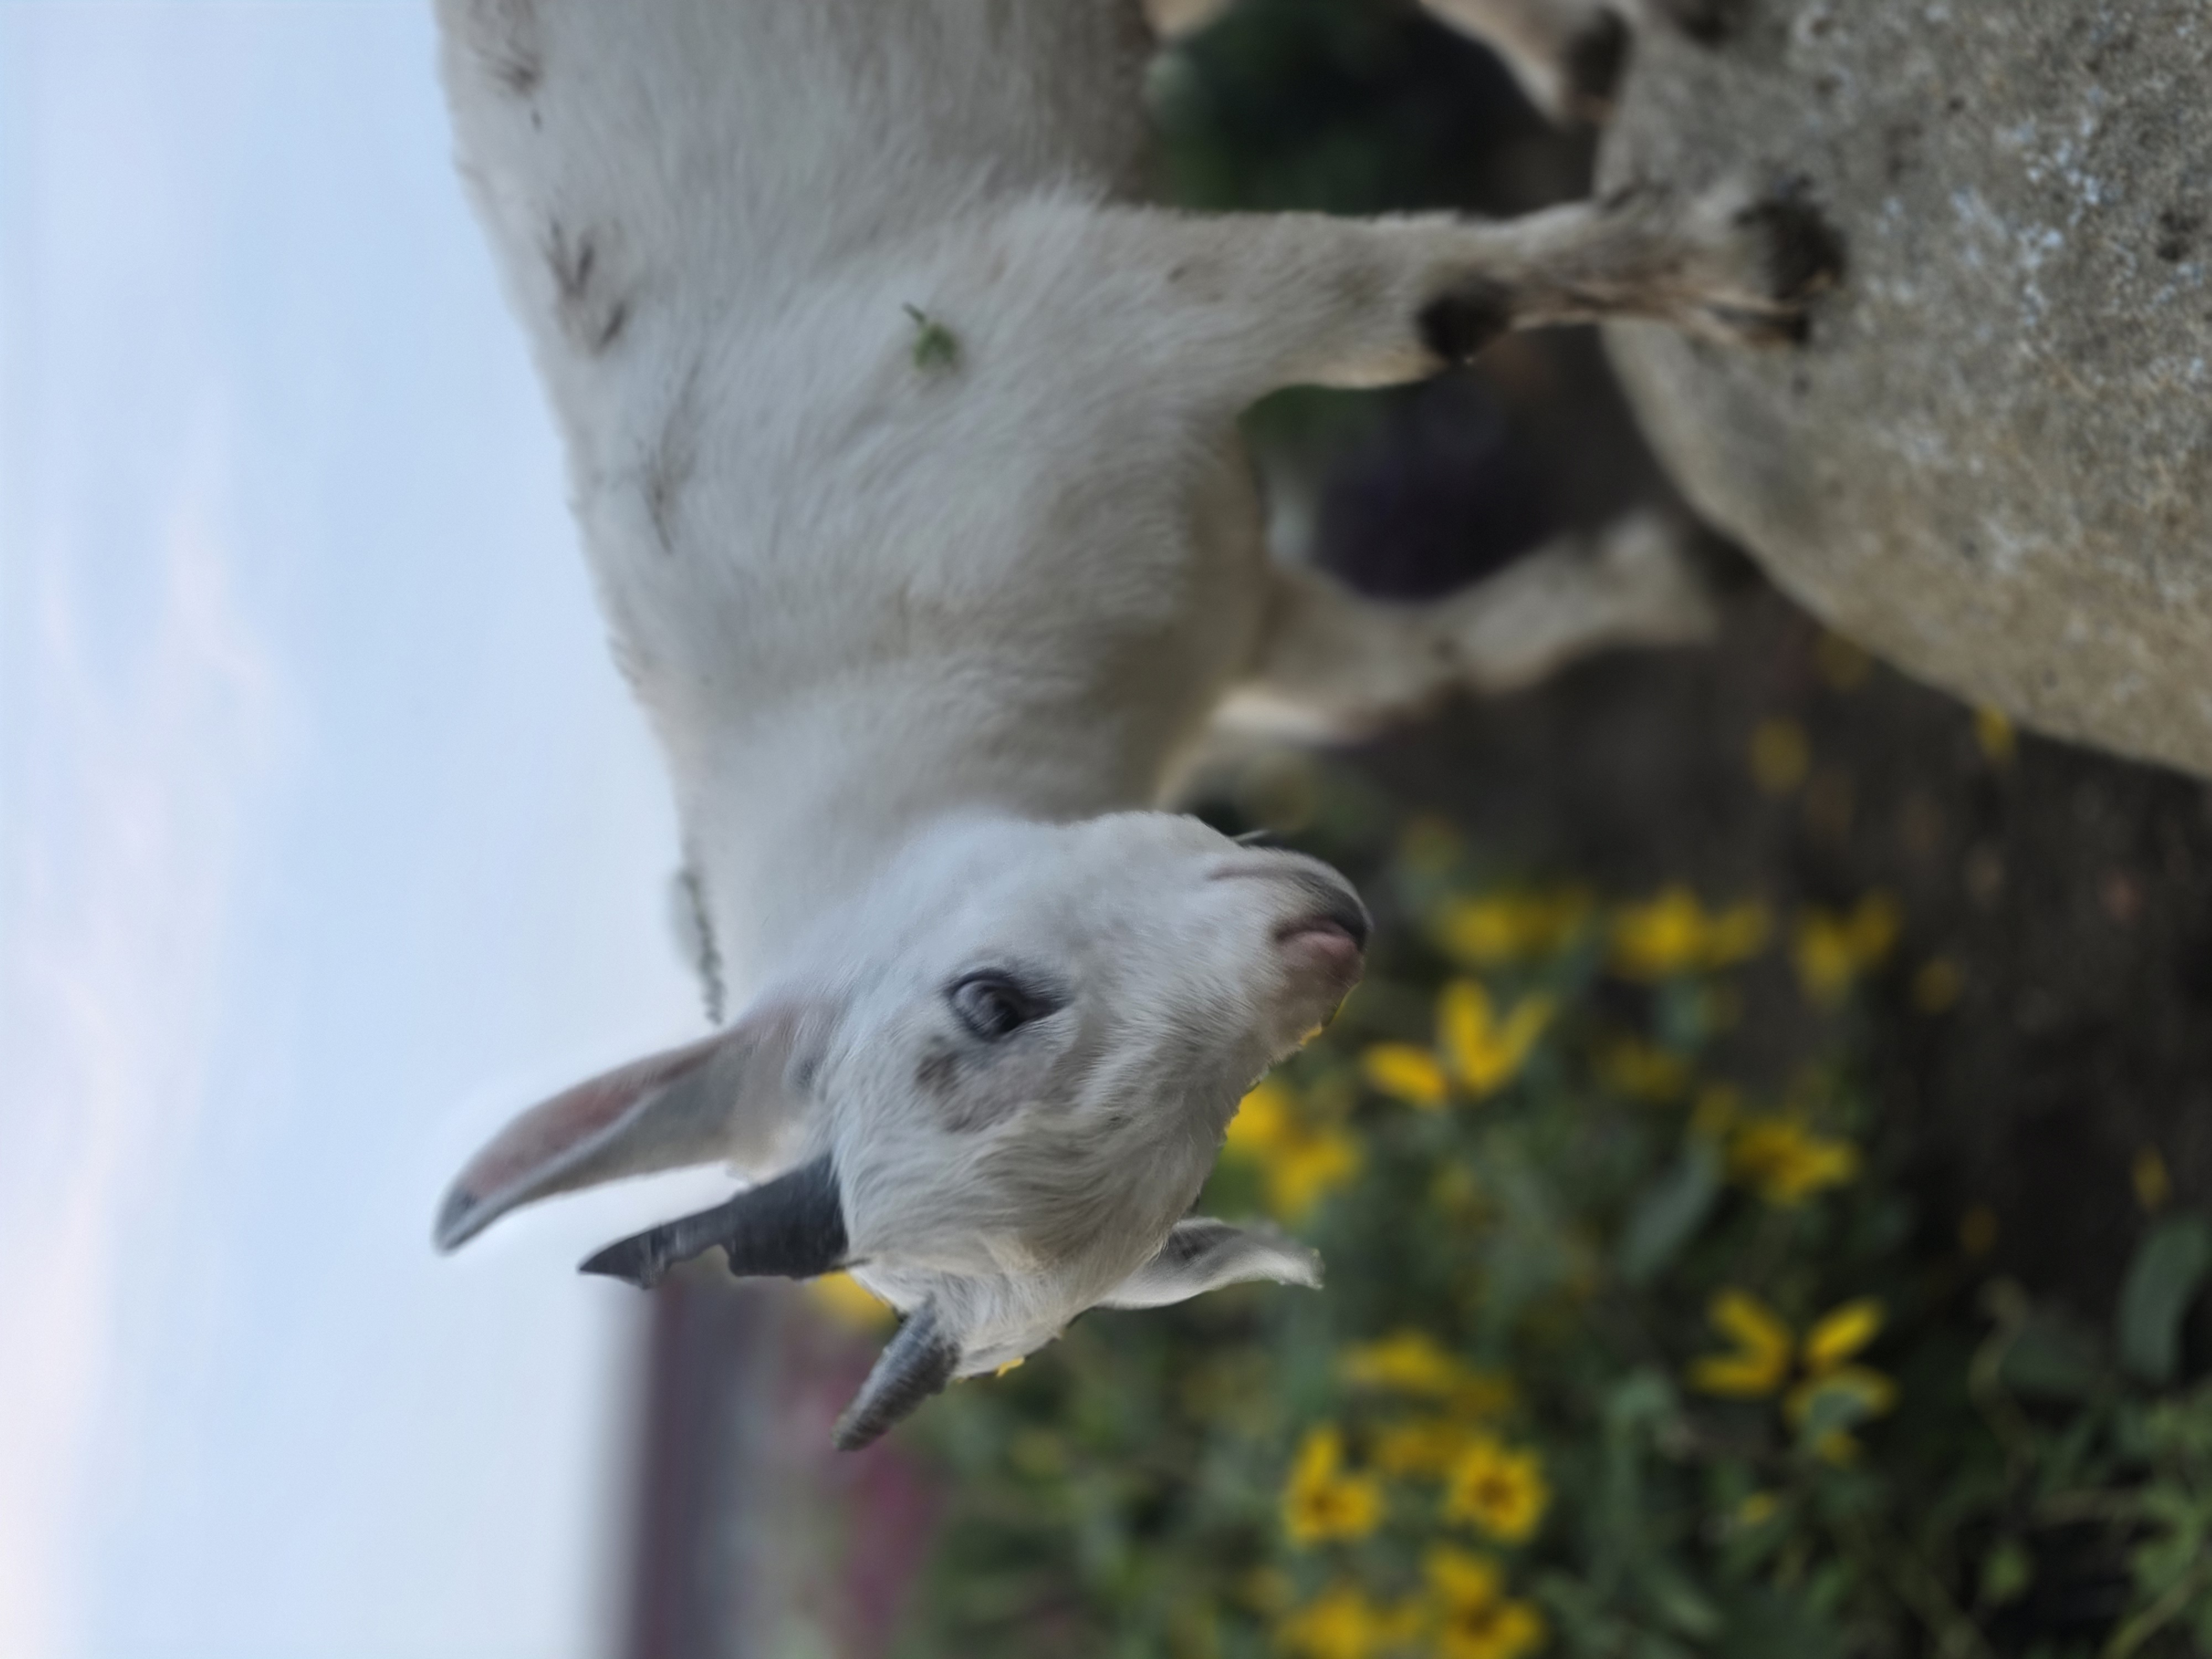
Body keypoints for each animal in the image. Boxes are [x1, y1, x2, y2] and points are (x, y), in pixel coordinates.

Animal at [429, 0, 1833, 1449]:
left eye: (988, 1000)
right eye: (1178, 1202)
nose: (1323, 940)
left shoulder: (1083, 312)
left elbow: (1406, 314)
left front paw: (1738, 265)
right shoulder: (1236, 620)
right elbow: (1408, 676)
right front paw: (1676, 578)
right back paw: (1589, 56)